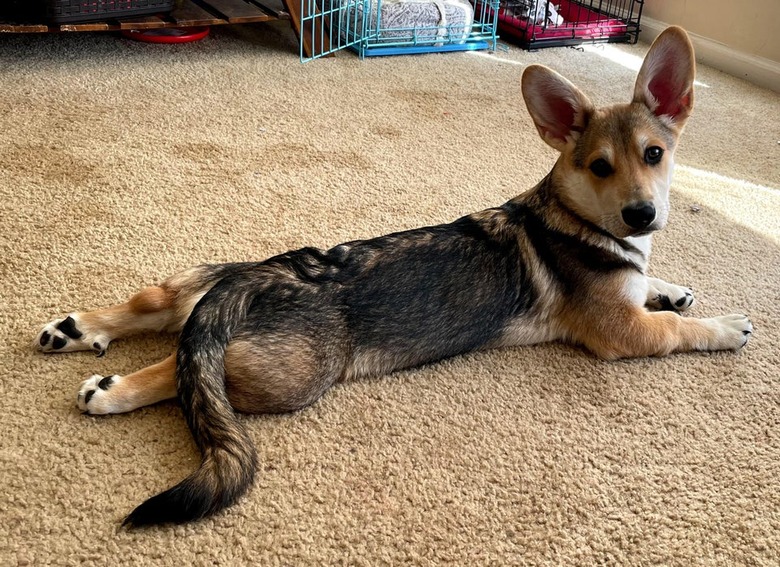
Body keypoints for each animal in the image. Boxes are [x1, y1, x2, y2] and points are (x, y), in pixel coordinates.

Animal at [35, 27, 748, 528]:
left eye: (654, 154)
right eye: (600, 166)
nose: (642, 214)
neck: (579, 218)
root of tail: (251, 283)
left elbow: (654, 288)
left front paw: (671, 286)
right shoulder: (622, 334)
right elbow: (678, 331)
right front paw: (724, 324)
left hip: (207, 284)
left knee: (158, 306)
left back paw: (75, 329)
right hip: (291, 374)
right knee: (187, 372)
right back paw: (110, 389)